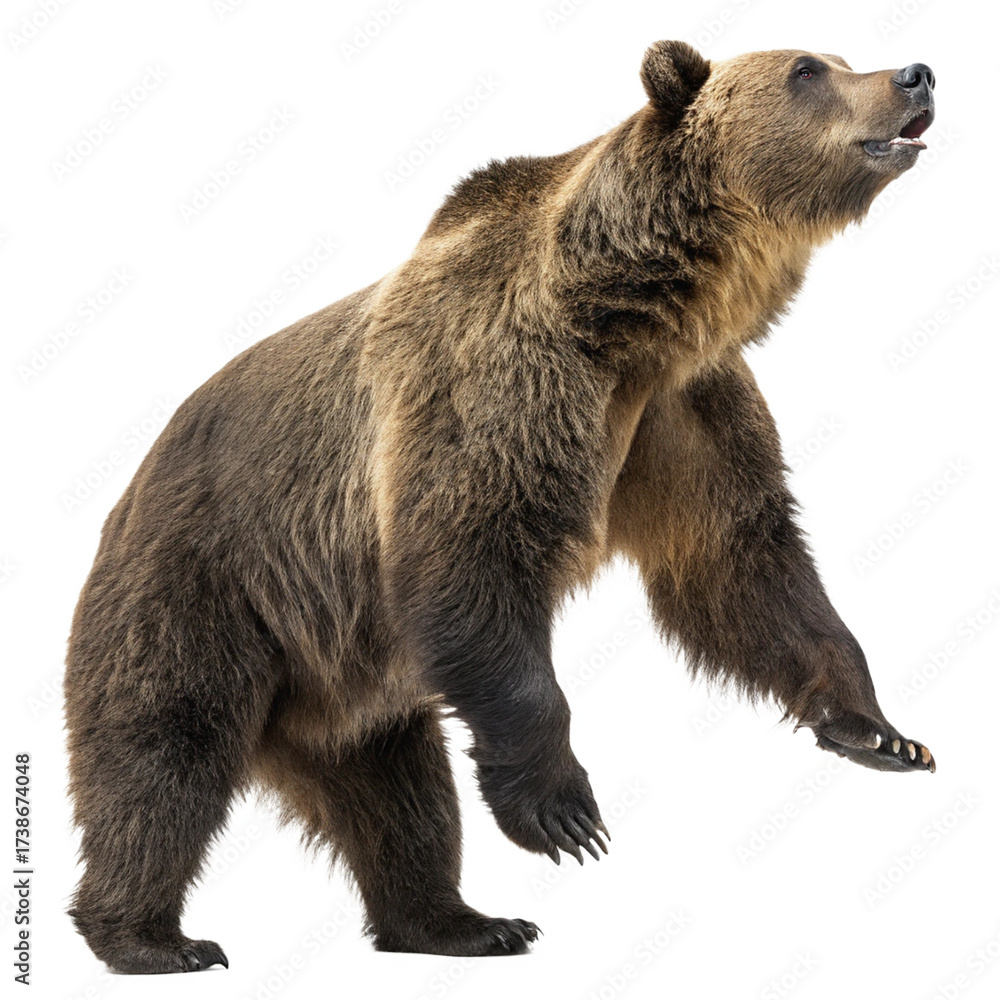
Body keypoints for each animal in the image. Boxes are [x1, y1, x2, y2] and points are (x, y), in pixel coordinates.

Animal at [64, 41, 938, 972]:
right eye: (808, 69)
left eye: (838, 57)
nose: (915, 74)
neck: (639, 320)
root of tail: (128, 489)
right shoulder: (498, 382)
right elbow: (472, 555)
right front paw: (566, 814)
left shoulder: (685, 414)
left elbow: (744, 564)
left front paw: (881, 732)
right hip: (207, 584)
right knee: (164, 753)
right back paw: (153, 937)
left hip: (346, 683)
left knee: (396, 790)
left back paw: (462, 921)